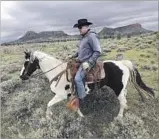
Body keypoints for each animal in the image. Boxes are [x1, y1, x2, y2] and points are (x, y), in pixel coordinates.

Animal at [19, 50, 155, 119]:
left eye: (26, 63)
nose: (21, 77)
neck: (58, 72)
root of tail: (123, 63)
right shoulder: (71, 95)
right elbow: (75, 106)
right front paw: (81, 115)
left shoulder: (61, 95)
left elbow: (48, 104)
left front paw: (48, 116)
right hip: (122, 89)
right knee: (124, 98)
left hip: (118, 90)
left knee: (122, 102)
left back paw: (119, 117)